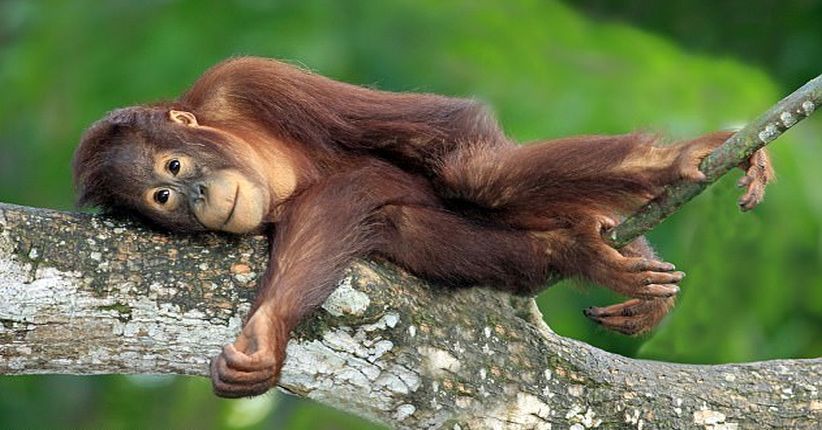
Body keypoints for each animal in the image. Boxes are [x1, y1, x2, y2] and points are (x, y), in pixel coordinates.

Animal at [72, 57, 774, 398]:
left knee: (471, 176)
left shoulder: (245, 81)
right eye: (161, 197)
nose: (193, 196)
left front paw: (673, 160)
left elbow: (456, 143)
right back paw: (574, 250)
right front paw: (266, 336)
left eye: (173, 166)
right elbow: (345, 206)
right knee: (395, 218)